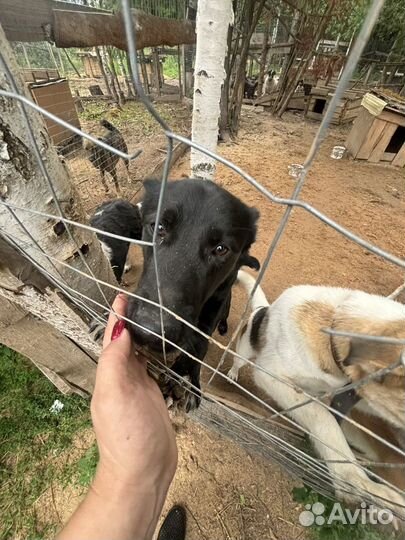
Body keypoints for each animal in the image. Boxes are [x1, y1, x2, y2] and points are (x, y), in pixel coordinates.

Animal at [127, 179, 258, 412]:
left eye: (221, 249)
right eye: (159, 227)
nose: (149, 333)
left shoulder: (217, 300)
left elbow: (200, 343)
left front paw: (185, 375)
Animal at [227, 272, 404, 516]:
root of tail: (264, 308)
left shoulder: (342, 398)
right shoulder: (270, 375)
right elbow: (325, 423)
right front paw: (359, 483)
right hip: (245, 352)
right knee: (238, 361)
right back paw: (232, 373)